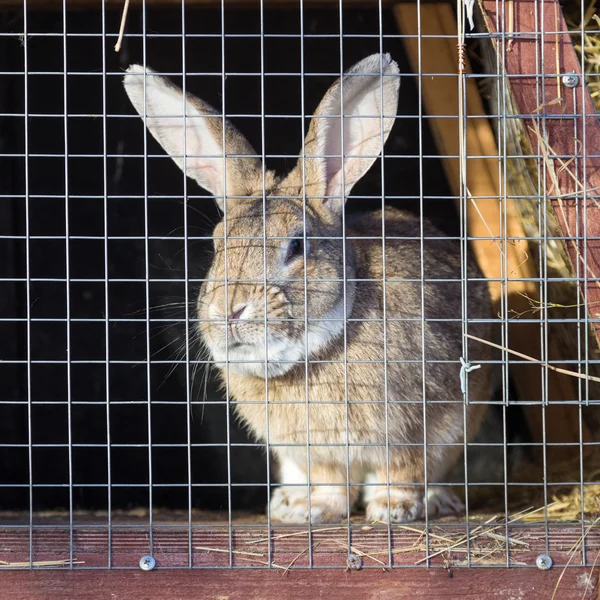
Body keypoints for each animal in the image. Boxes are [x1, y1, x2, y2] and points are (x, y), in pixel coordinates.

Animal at [122, 51, 492, 524]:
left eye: (297, 246)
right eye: (218, 243)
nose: (230, 311)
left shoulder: (418, 425)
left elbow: (402, 469)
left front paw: (393, 509)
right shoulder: (316, 452)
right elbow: (331, 481)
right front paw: (313, 510)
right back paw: (288, 503)